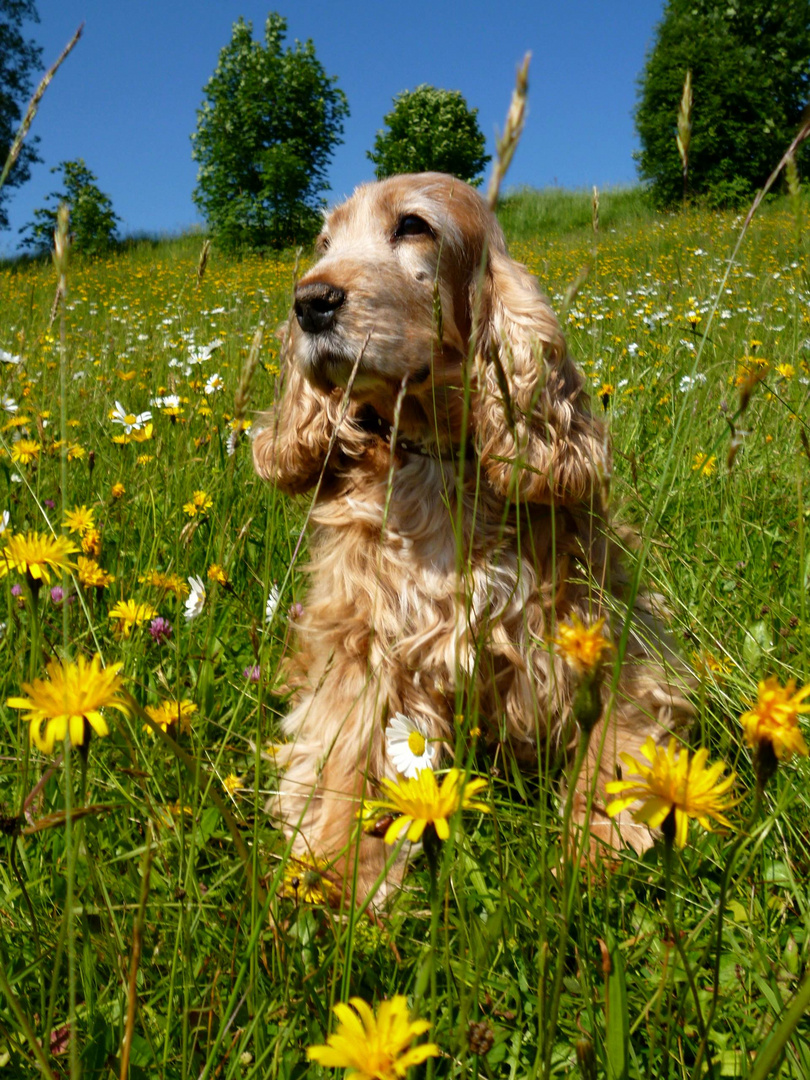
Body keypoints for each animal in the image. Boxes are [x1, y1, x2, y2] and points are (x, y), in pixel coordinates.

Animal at [253, 172, 691, 898]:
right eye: (323, 242)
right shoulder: (363, 644)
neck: (435, 459)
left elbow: (616, 742)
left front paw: (592, 846)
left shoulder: (604, 635)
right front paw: (335, 875)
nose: (308, 302)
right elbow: (344, 757)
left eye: (413, 226)